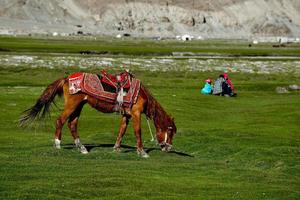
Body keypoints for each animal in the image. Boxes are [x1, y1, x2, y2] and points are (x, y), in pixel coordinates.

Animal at [19, 72, 176, 158]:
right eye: (170, 131)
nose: (168, 148)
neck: (141, 94)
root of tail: (66, 78)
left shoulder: (127, 115)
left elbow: (122, 130)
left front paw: (116, 148)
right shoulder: (136, 113)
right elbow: (138, 132)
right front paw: (142, 152)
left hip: (79, 106)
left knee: (72, 124)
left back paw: (82, 148)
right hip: (72, 105)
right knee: (60, 121)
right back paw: (57, 144)